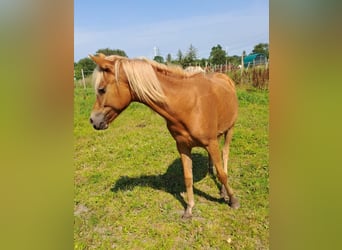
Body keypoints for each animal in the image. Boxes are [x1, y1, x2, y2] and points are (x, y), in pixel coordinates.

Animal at [87, 53, 240, 219]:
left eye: (101, 90)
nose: (93, 120)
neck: (188, 103)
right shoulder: (183, 146)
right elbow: (188, 177)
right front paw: (189, 209)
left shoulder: (210, 142)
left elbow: (222, 174)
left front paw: (233, 200)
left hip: (230, 129)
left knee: (225, 155)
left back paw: (224, 191)